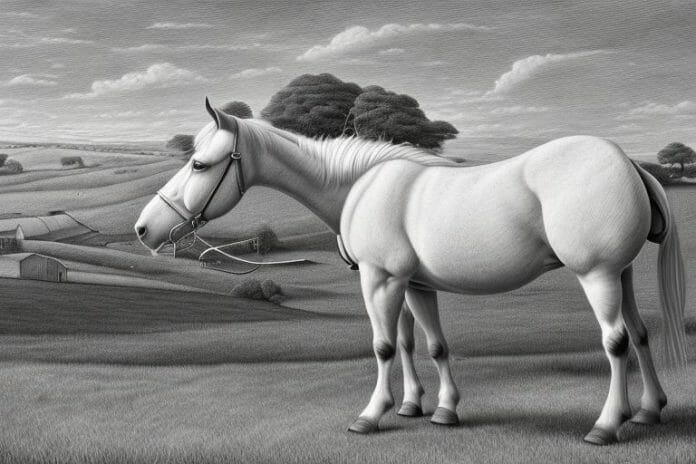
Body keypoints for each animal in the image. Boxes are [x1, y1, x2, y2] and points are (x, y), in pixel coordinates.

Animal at [135, 98, 686, 445]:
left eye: (200, 165)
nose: (144, 228)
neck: (361, 187)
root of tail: (629, 164)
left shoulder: (379, 279)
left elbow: (382, 346)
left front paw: (371, 415)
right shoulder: (413, 284)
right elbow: (421, 343)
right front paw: (429, 408)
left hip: (597, 276)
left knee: (616, 342)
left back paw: (607, 425)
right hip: (622, 275)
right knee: (640, 334)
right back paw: (649, 409)